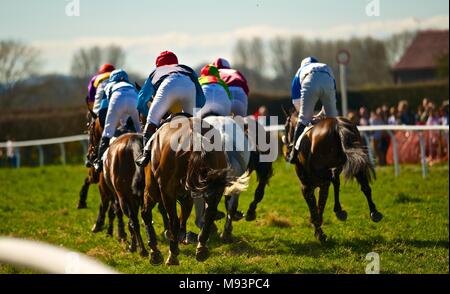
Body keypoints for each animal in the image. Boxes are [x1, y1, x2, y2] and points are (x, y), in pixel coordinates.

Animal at [142, 116, 248, 266]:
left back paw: (172, 255)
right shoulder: (187, 195)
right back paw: (203, 246)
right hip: (215, 187)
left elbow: (147, 214)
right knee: (212, 213)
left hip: (164, 190)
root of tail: (195, 137)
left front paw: (155, 252)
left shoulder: (154, 189)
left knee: (173, 220)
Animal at [282, 109, 384, 242]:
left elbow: (314, 207)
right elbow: (320, 205)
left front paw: (319, 232)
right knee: (365, 187)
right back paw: (373, 212)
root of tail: (338, 124)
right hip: (357, 160)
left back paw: (339, 210)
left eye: (286, 127)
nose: (287, 152)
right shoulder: (321, 185)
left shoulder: (306, 187)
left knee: (335, 180)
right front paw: (319, 230)